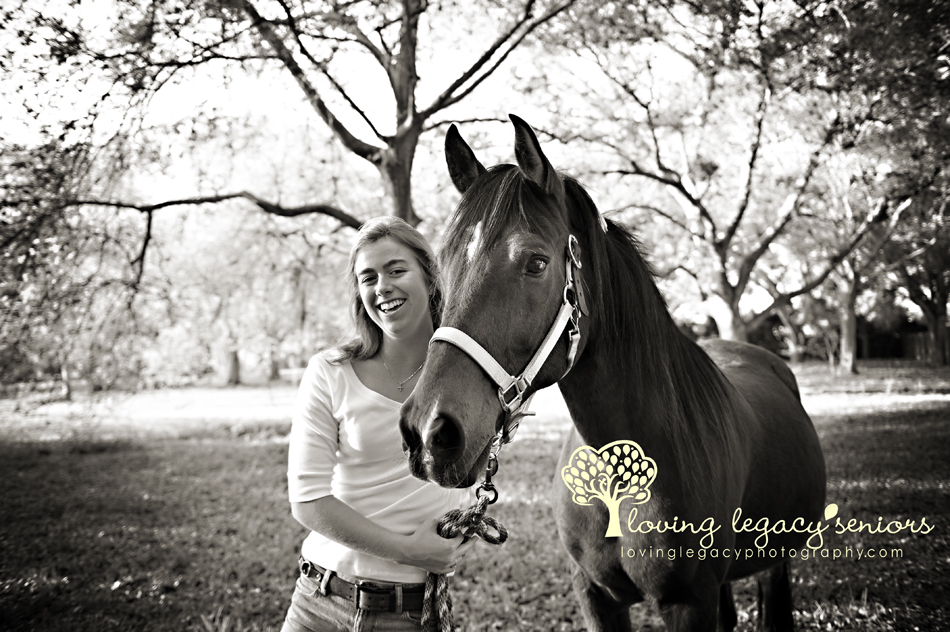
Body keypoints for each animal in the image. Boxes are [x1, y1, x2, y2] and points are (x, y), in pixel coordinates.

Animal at [399, 115, 826, 632]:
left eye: (536, 263)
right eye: (441, 265)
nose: (429, 432)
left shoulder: (690, 603)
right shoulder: (596, 596)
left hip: (775, 560)